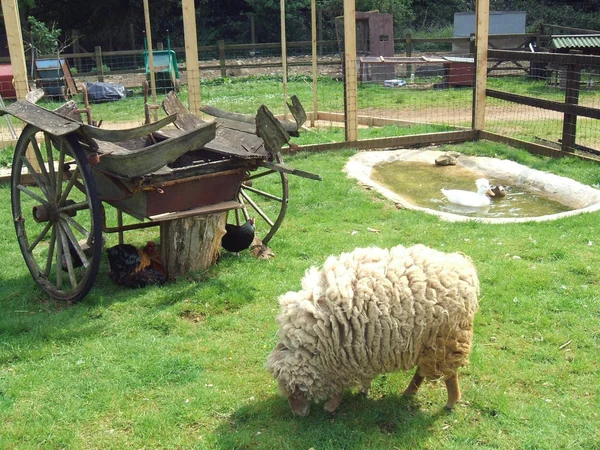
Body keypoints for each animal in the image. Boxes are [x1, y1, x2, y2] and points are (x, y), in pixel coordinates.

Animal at [266, 244, 478, 416]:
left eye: (296, 390)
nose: (297, 414)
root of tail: (463, 267)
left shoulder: (342, 357)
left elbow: (339, 386)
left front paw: (332, 406)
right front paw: (362, 390)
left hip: (446, 340)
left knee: (449, 374)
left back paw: (451, 401)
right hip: (427, 344)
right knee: (422, 370)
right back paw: (409, 392)